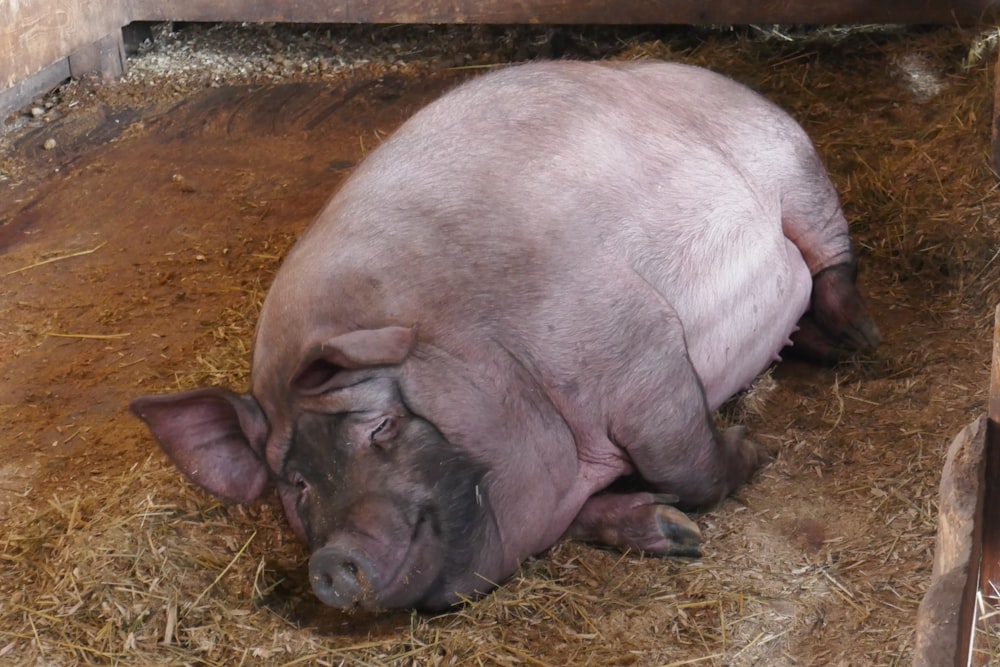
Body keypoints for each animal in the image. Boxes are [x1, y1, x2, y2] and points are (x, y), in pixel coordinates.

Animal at [129, 60, 880, 612]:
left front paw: (749, 454)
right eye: (297, 482)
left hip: (796, 167)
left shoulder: (638, 345)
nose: (335, 561)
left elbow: (686, 462)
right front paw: (670, 532)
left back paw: (858, 342)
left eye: (381, 427)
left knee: (830, 262)